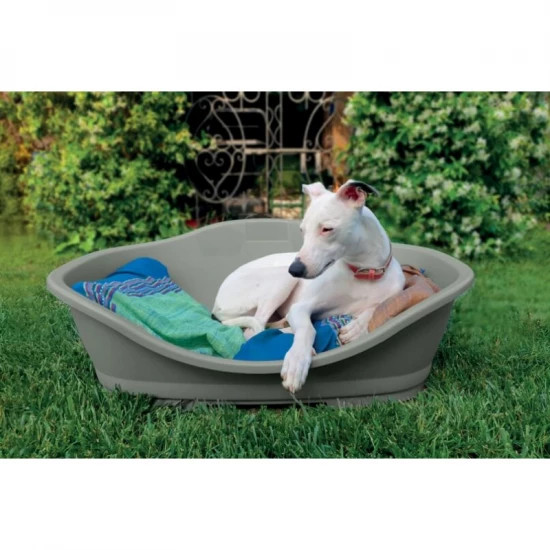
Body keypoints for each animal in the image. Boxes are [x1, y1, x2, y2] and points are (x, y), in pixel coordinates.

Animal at [212, 180, 405, 393]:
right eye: (302, 230)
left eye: (327, 229)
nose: (295, 269)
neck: (363, 271)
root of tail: (216, 305)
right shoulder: (300, 307)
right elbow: (307, 329)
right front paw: (296, 361)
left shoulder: (396, 291)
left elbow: (378, 307)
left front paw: (357, 327)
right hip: (281, 279)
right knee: (253, 331)